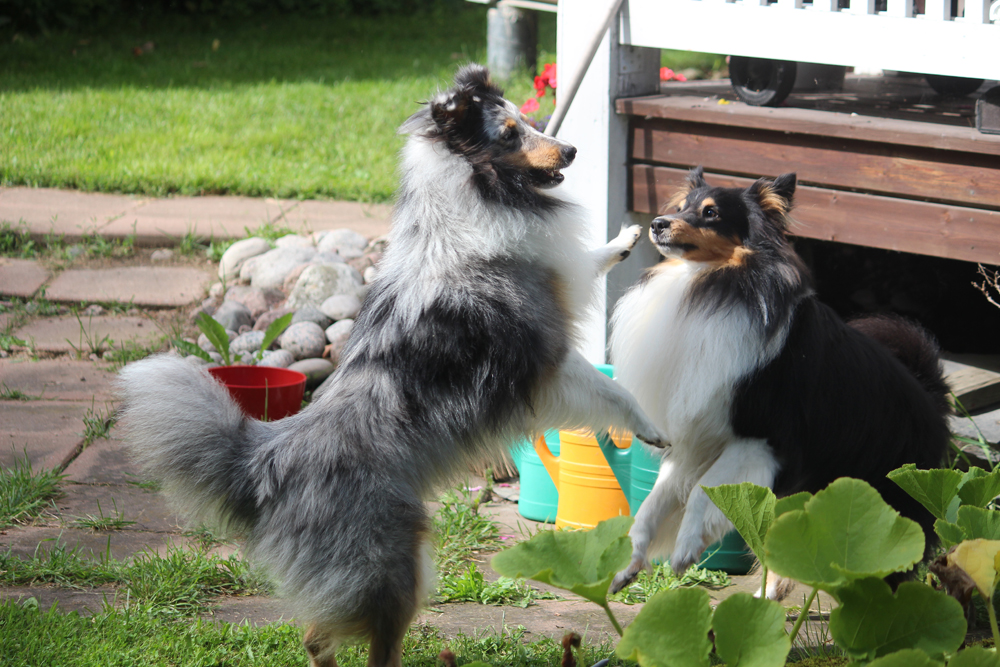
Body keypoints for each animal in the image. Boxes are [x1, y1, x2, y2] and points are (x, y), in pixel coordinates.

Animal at [117, 65, 667, 667]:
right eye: (510, 134)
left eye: (528, 122)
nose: (571, 149)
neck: (465, 199)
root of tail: (266, 462)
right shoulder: (553, 363)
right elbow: (615, 393)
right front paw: (653, 429)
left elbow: (588, 263)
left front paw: (624, 239)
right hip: (394, 566)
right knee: (371, 642)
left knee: (315, 636)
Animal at [607, 167, 951, 598]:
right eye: (682, 206)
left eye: (711, 213)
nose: (656, 224)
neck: (709, 283)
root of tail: (931, 394)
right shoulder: (693, 438)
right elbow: (653, 504)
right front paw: (629, 563)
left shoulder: (760, 438)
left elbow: (707, 489)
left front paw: (686, 549)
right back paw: (765, 599)